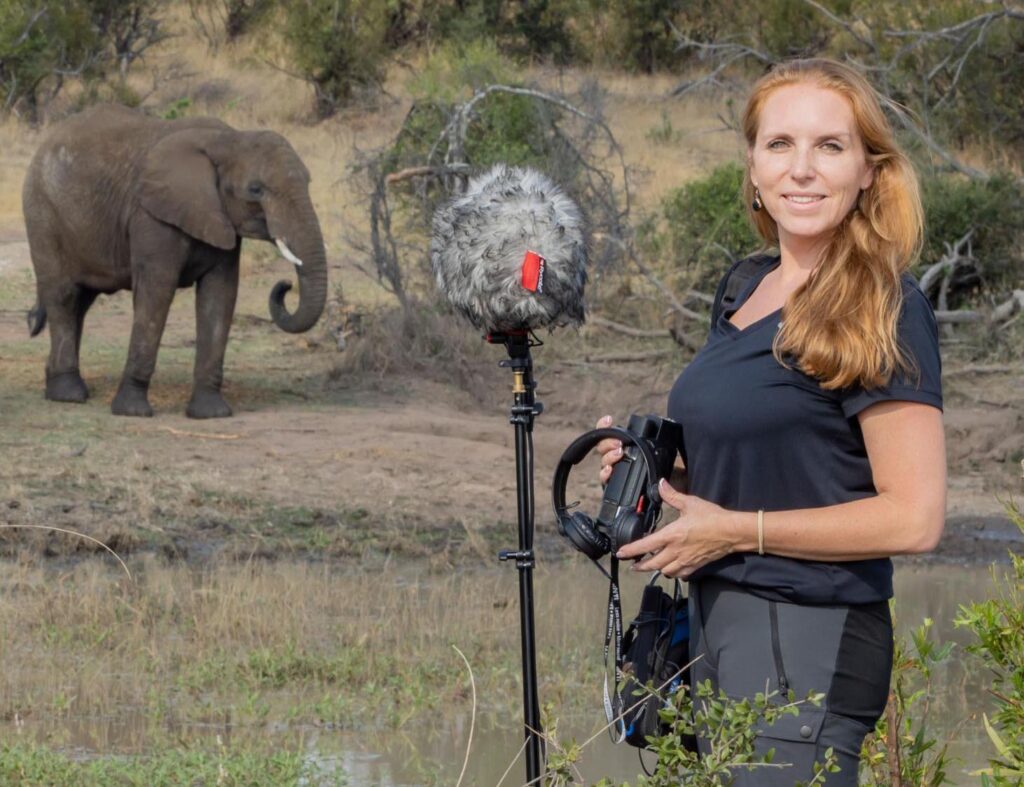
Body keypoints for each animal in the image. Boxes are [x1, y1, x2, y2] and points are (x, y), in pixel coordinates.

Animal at [21, 104, 328, 418]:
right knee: (64, 295)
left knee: (81, 301)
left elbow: (220, 295)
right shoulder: (151, 218)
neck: (229, 139)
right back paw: (68, 395)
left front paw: (210, 413)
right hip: (42, 212)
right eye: (256, 190)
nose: (286, 285)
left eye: (308, 182)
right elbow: (157, 291)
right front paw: (133, 411)